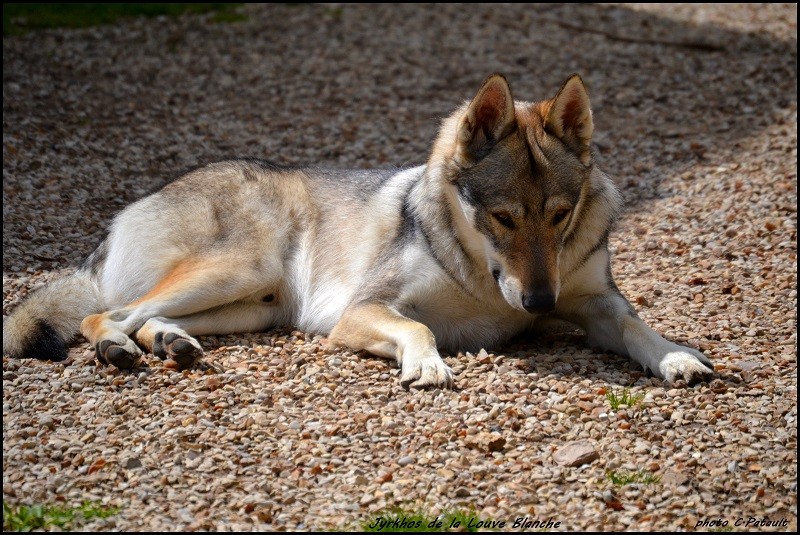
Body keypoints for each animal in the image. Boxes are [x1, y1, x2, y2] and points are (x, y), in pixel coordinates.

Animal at [0, 73, 712, 388]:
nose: (538, 302)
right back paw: (115, 349)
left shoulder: (595, 303)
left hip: (254, 308)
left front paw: (677, 356)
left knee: (146, 318)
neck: (483, 275)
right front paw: (427, 364)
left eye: (561, 216)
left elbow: (639, 329)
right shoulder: (360, 312)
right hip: (240, 271)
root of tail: (126, 212)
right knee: (105, 314)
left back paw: (169, 344)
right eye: (503, 217)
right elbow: (420, 328)